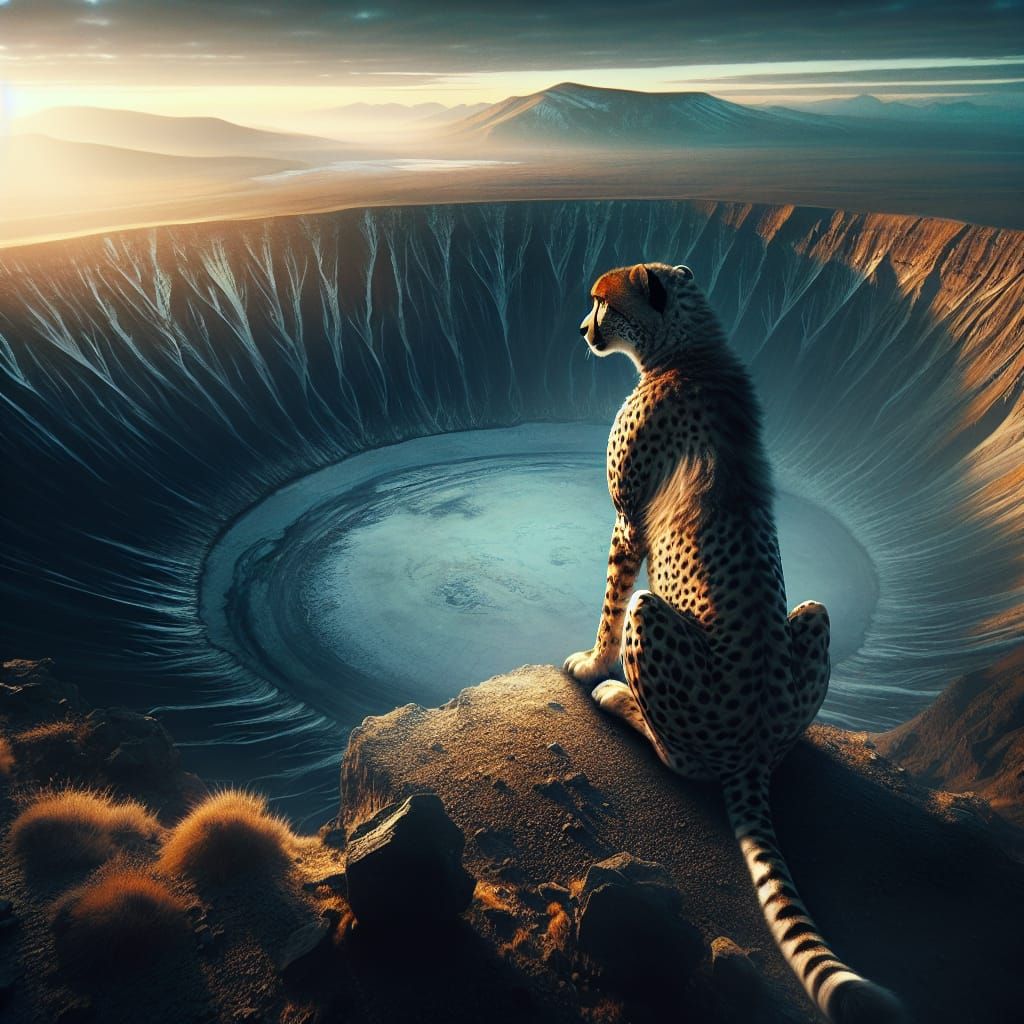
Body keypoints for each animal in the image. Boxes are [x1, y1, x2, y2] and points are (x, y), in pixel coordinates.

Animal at [563, 262, 903, 1024]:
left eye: (602, 302)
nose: (581, 330)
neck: (690, 350)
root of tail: (753, 747)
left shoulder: (628, 521)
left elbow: (610, 601)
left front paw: (590, 664)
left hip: (657, 626)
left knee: (676, 752)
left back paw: (615, 695)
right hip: (814, 614)